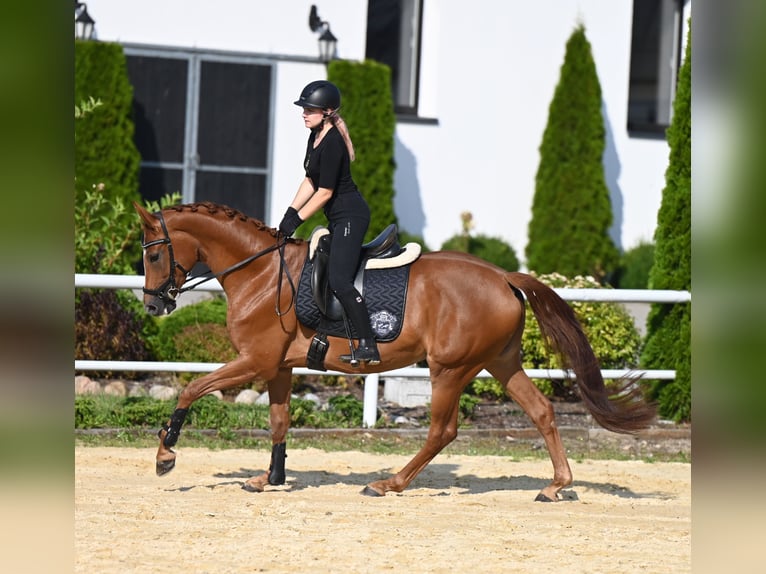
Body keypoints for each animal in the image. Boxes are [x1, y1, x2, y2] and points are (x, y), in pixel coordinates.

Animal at [136, 204, 656, 504]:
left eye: (154, 254)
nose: (153, 305)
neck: (261, 273)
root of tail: (504, 277)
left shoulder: (254, 362)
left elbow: (192, 388)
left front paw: (165, 453)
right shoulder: (278, 367)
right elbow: (279, 421)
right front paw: (270, 479)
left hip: (450, 367)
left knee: (443, 430)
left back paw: (389, 483)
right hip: (501, 362)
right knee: (542, 410)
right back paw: (556, 485)